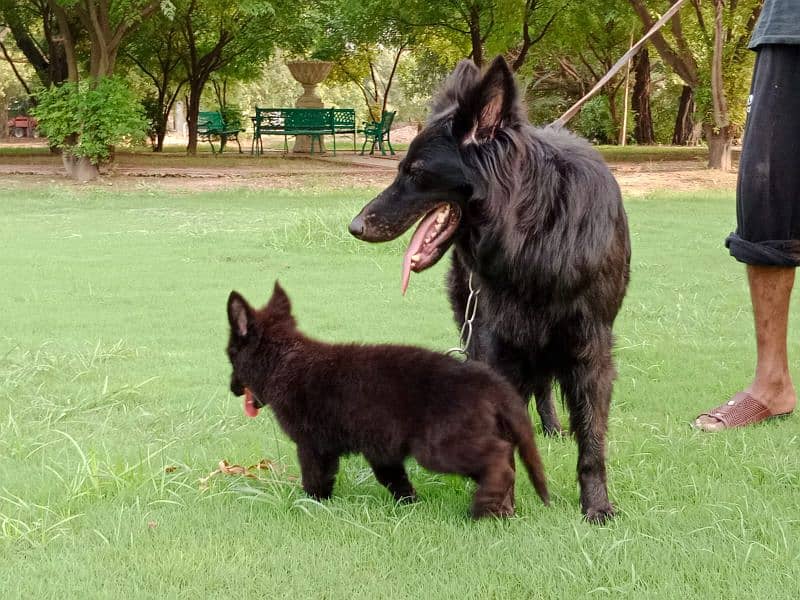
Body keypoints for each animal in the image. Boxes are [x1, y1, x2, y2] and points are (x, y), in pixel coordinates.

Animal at [225, 284, 552, 516]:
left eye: (230, 355)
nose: (232, 388)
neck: (284, 361)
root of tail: (488, 381)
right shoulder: (380, 447)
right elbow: (394, 479)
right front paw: (410, 505)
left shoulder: (312, 445)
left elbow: (316, 478)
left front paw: (312, 504)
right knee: (506, 460)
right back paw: (500, 510)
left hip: (439, 446)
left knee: (499, 457)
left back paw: (482, 506)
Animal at [350, 58, 632, 524]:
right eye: (400, 169)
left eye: (415, 173)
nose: (355, 226)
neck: (536, 234)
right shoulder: (495, 339)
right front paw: (500, 504)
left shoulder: (591, 347)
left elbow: (592, 440)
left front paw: (597, 506)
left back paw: (552, 427)